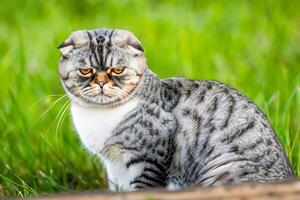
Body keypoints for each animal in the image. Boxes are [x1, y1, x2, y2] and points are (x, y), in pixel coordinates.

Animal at [57, 28, 294, 191]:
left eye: (118, 70)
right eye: (85, 71)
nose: (101, 83)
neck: (99, 113)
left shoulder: (149, 158)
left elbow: (141, 189)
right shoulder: (113, 167)